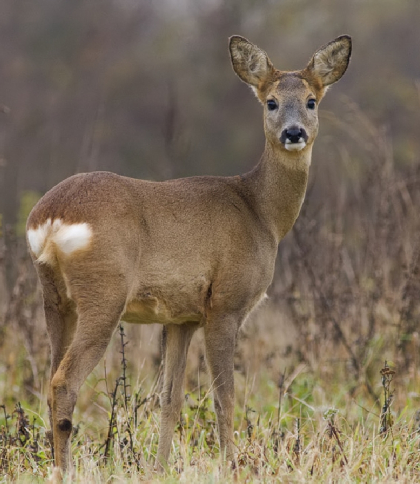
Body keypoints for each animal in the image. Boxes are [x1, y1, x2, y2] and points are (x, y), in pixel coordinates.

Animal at [27, 35, 352, 472]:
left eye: (311, 100)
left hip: (55, 300)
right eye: (270, 101)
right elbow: (224, 397)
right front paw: (231, 466)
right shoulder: (225, 303)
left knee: (50, 378)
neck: (260, 211)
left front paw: (160, 467)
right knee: (64, 381)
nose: (294, 132)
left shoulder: (180, 318)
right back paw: (66, 470)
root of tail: (51, 218)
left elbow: (169, 398)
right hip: (104, 294)